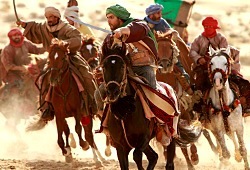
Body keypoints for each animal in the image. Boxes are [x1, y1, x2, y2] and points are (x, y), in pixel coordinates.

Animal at [100, 37, 181, 170]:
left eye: (122, 66)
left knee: (168, 162)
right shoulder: (120, 147)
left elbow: (137, 155)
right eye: (104, 67)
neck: (124, 111)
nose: (113, 91)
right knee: (153, 156)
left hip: (171, 135)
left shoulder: (143, 139)